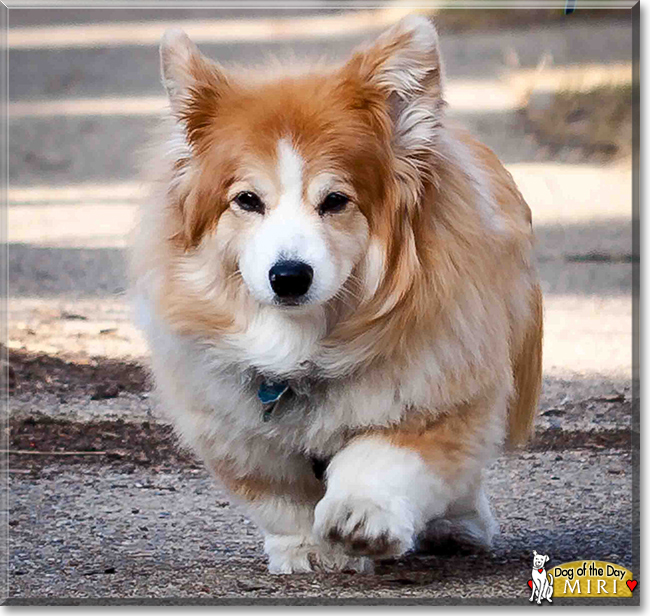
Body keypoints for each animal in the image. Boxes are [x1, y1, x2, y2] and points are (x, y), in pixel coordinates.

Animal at [129, 13, 540, 572]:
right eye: (248, 200)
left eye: (335, 200)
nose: (289, 275)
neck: (304, 345)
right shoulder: (237, 432)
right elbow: (281, 497)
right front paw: (306, 550)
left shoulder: (436, 395)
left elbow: (385, 459)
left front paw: (359, 519)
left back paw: (460, 526)